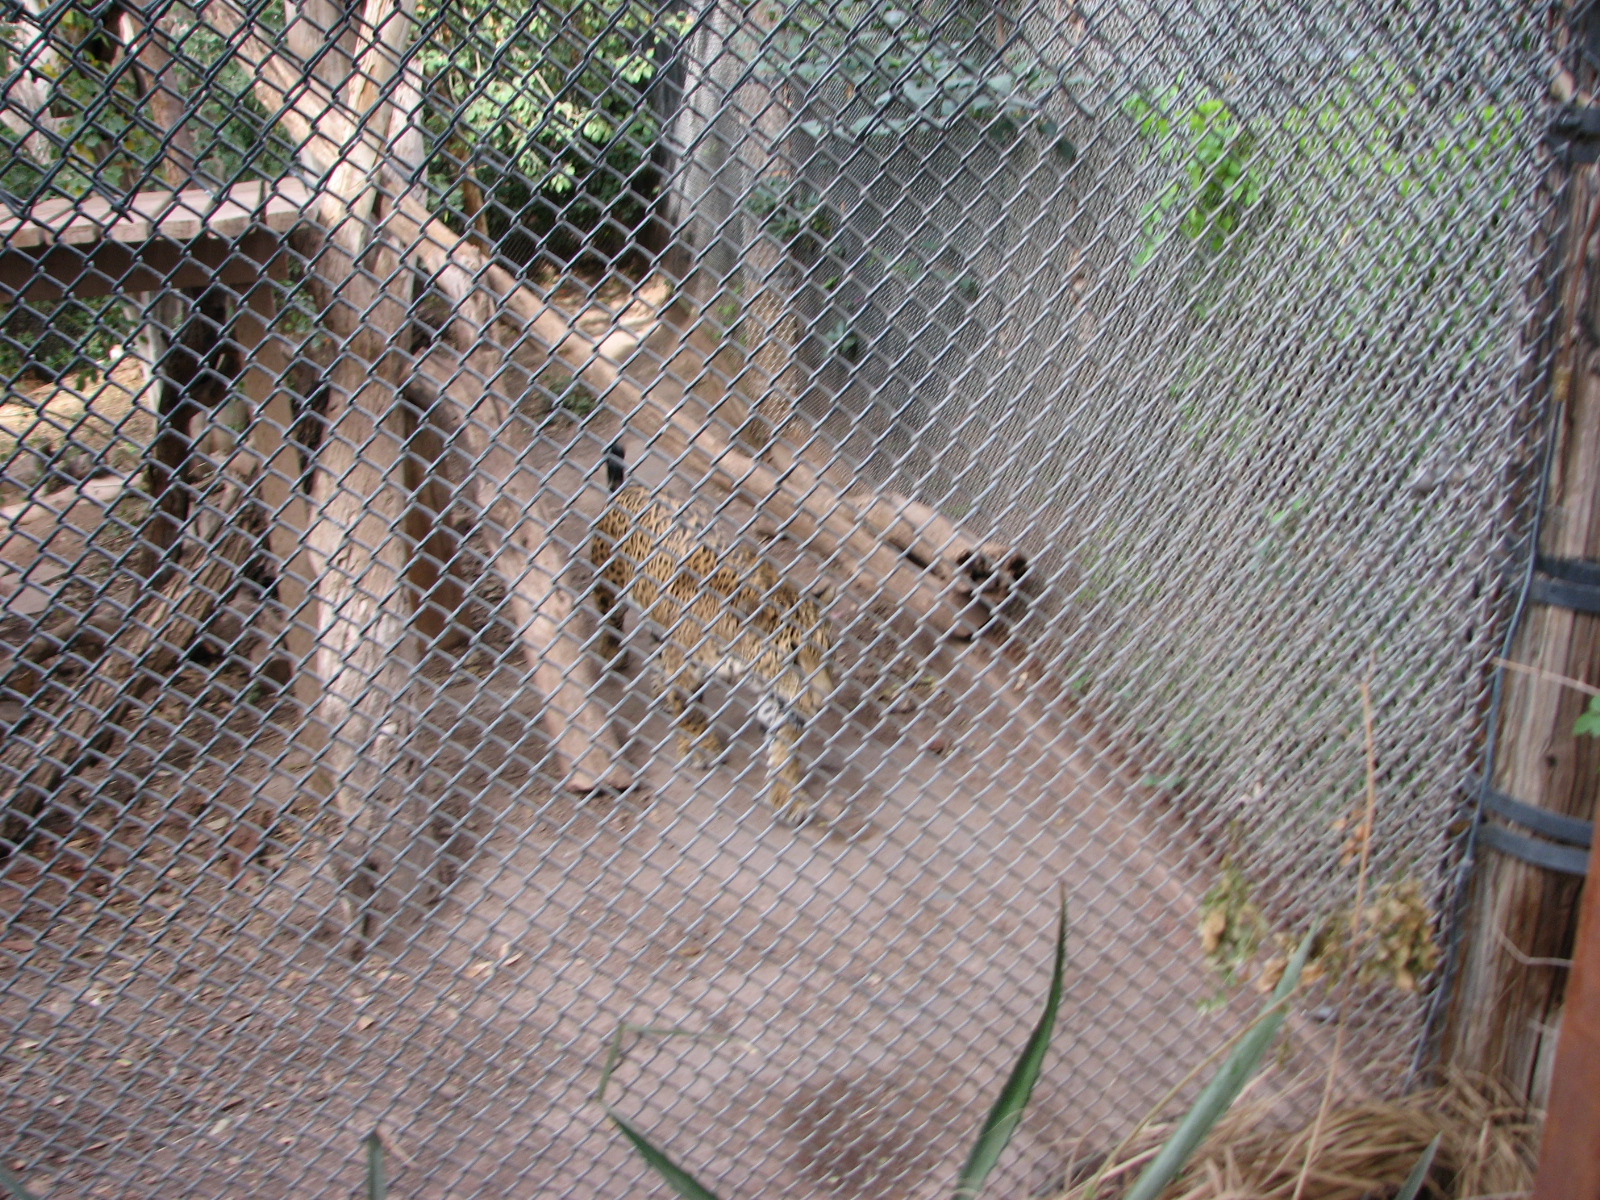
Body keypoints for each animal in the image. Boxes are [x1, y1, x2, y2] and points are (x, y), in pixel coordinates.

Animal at [590, 443, 838, 825]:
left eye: (828, 654)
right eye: (794, 660)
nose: (822, 702)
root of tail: (630, 490)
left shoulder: (776, 694)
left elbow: (784, 745)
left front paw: (787, 795)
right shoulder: (688, 666)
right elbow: (692, 711)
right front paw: (700, 747)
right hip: (609, 583)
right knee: (611, 619)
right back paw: (612, 653)